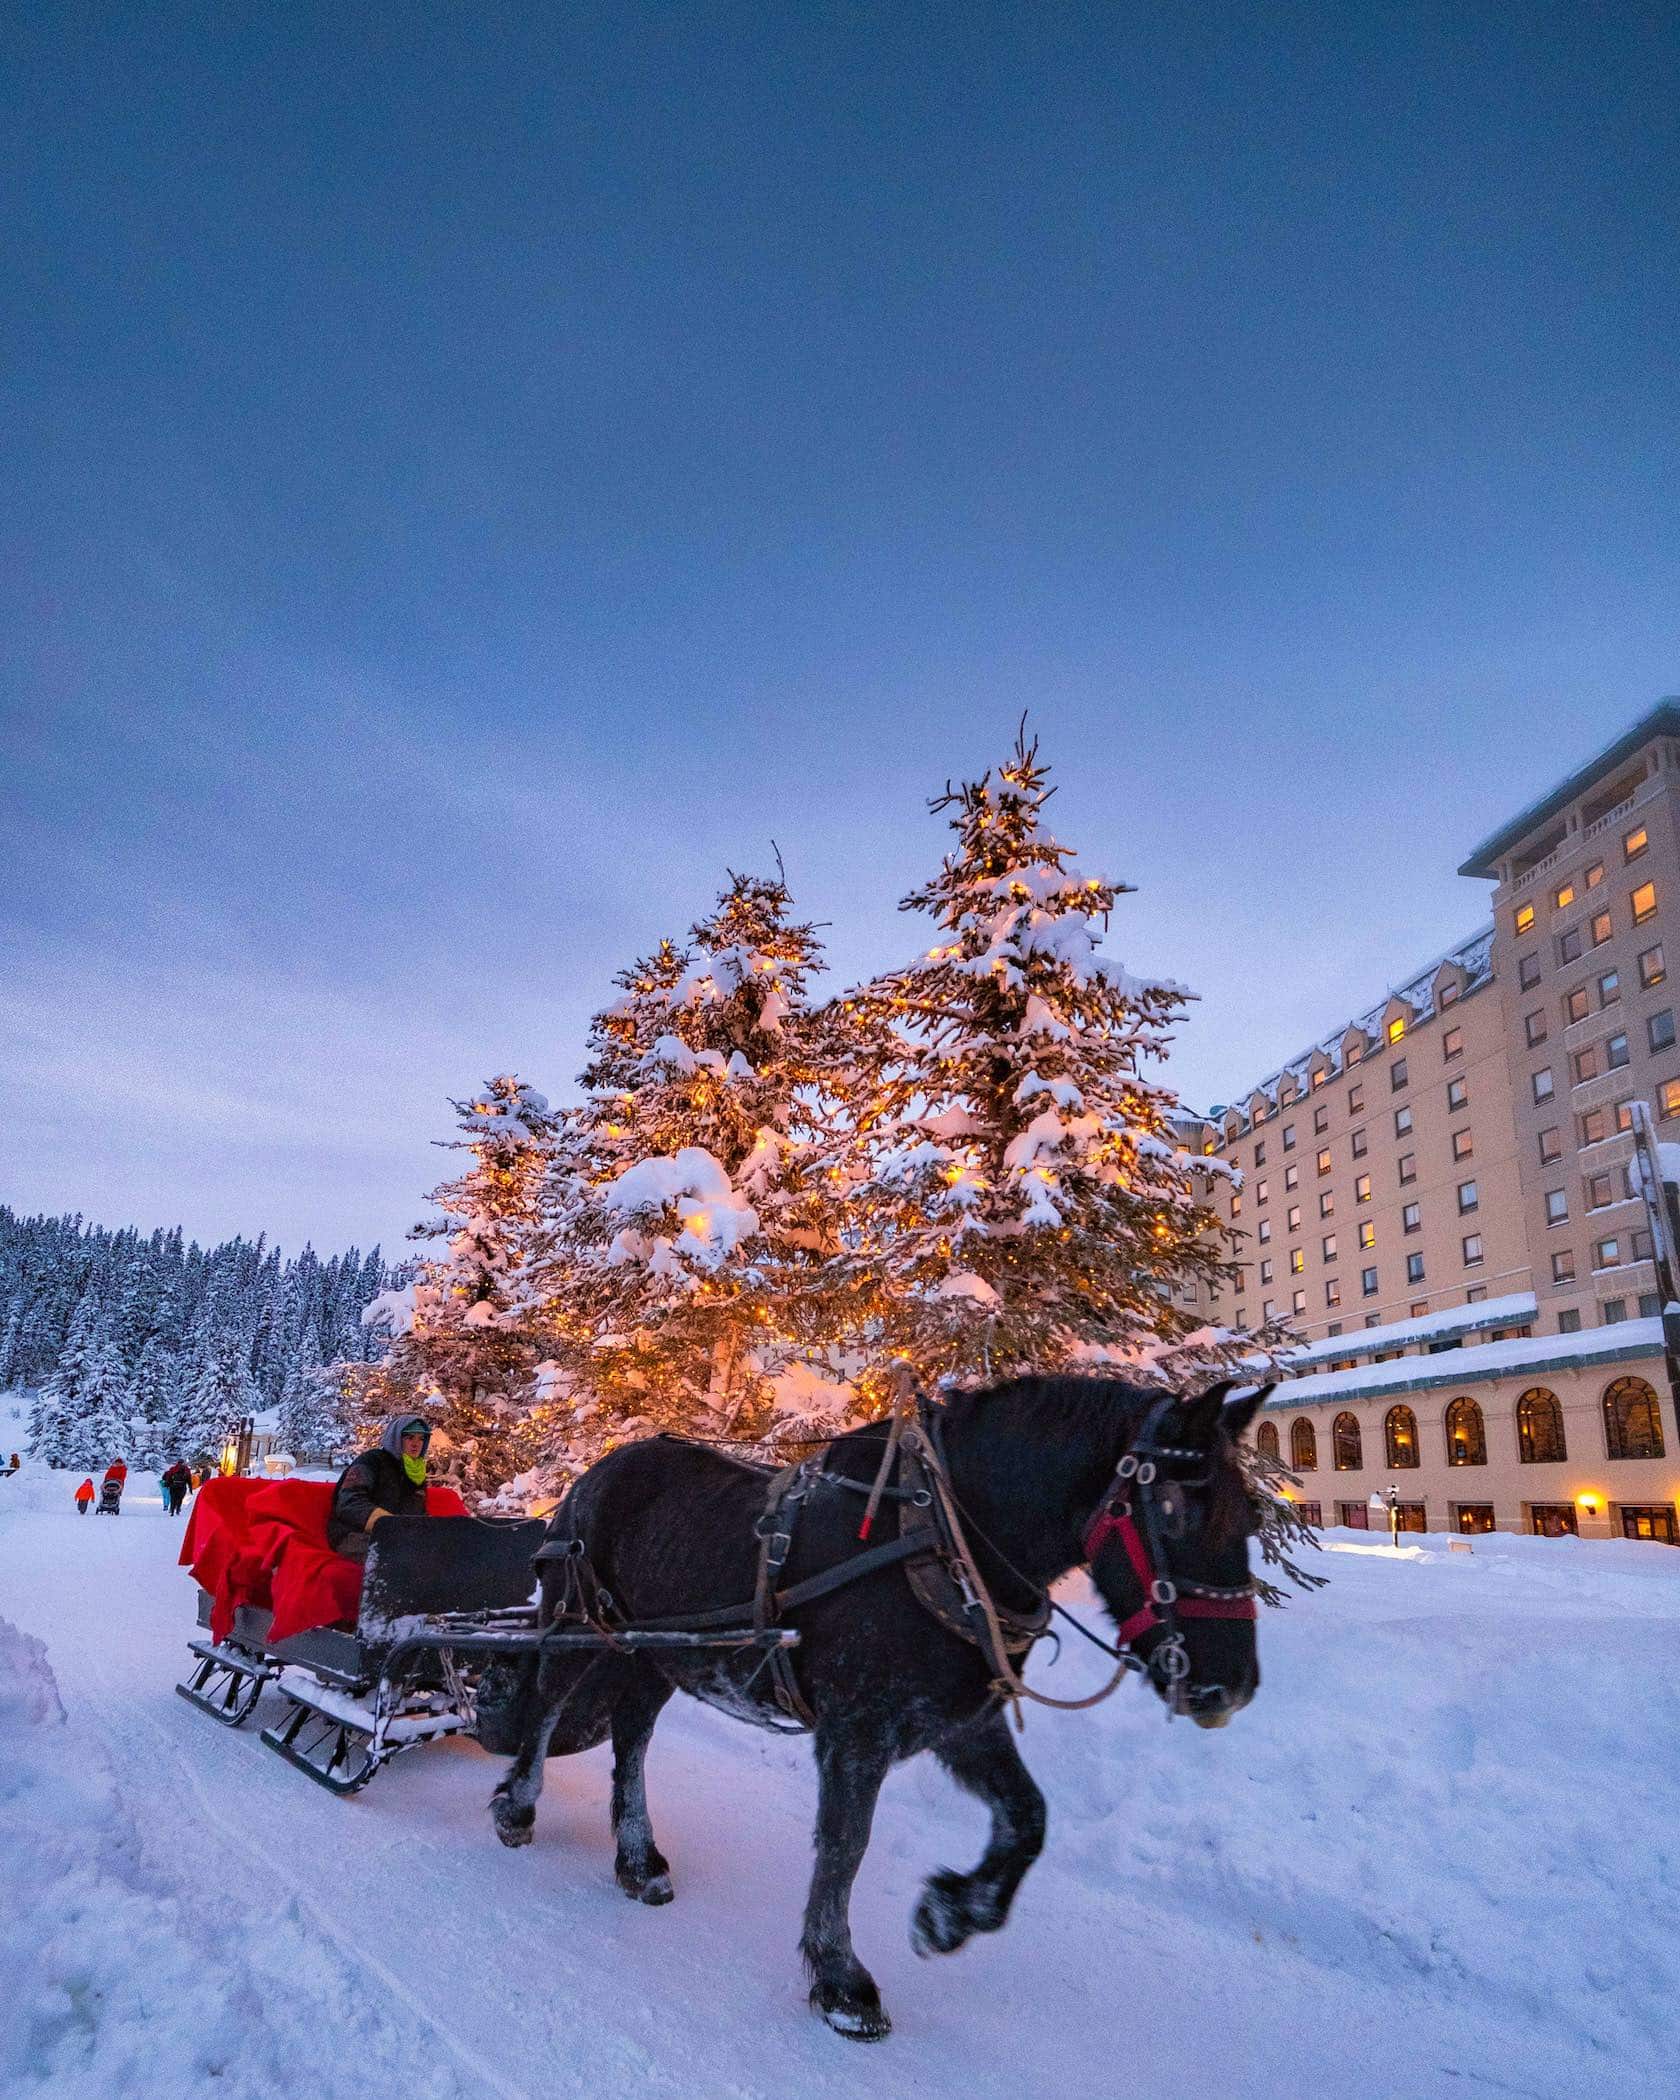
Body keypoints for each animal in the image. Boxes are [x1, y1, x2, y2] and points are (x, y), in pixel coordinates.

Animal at [491, 1377, 1268, 2032]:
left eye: (1252, 1517)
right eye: (1175, 1511)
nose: (1232, 1688)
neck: (947, 1541)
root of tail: (597, 1470)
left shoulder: (961, 1721)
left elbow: (1028, 1819)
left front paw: (951, 1914)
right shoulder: (856, 1730)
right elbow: (845, 1845)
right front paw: (840, 1979)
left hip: (657, 1652)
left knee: (632, 1735)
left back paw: (638, 1860)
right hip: (574, 1622)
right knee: (547, 1708)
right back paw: (517, 1806)